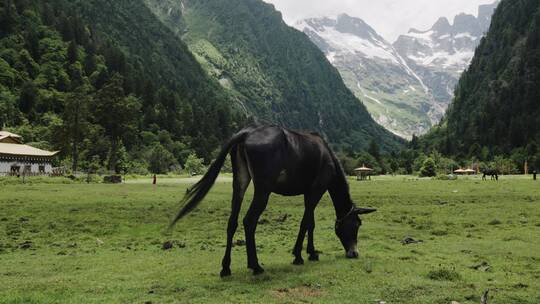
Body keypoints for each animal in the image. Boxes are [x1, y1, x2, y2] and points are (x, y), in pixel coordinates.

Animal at [171, 124, 378, 276]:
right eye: (357, 225)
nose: (354, 253)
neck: (328, 157)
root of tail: (247, 133)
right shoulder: (316, 190)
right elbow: (306, 222)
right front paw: (298, 255)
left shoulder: (308, 193)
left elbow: (311, 223)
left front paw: (311, 252)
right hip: (263, 190)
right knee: (249, 221)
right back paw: (255, 266)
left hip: (240, 183)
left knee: (232, 222)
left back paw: (226, 267)